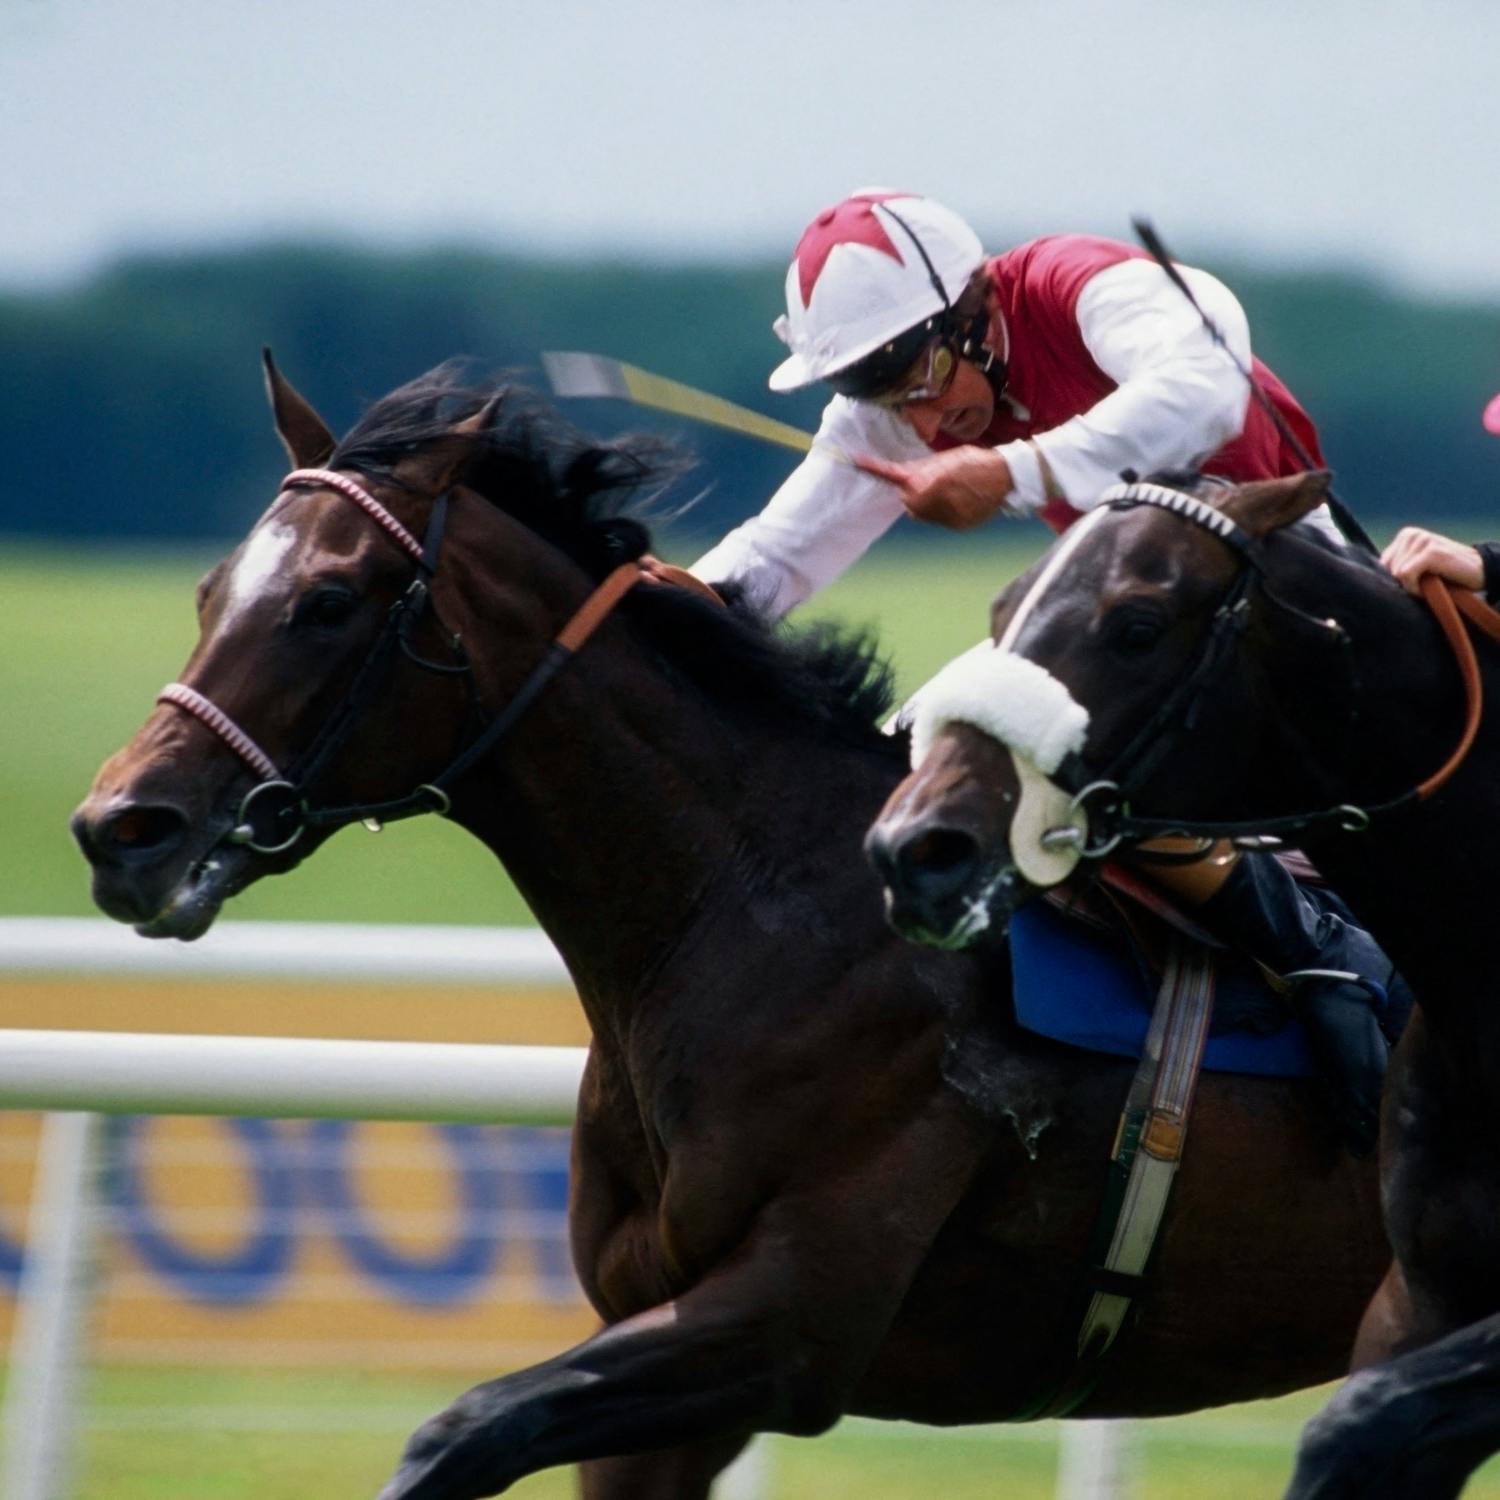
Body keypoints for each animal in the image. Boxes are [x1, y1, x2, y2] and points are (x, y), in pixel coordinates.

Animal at [73, 371, 1392, 1500]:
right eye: (210, 591)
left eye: (327, 602)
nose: (120, 828)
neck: (760, 911)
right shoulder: (659, 1354)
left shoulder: (783, 1325)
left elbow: (458, 1431)